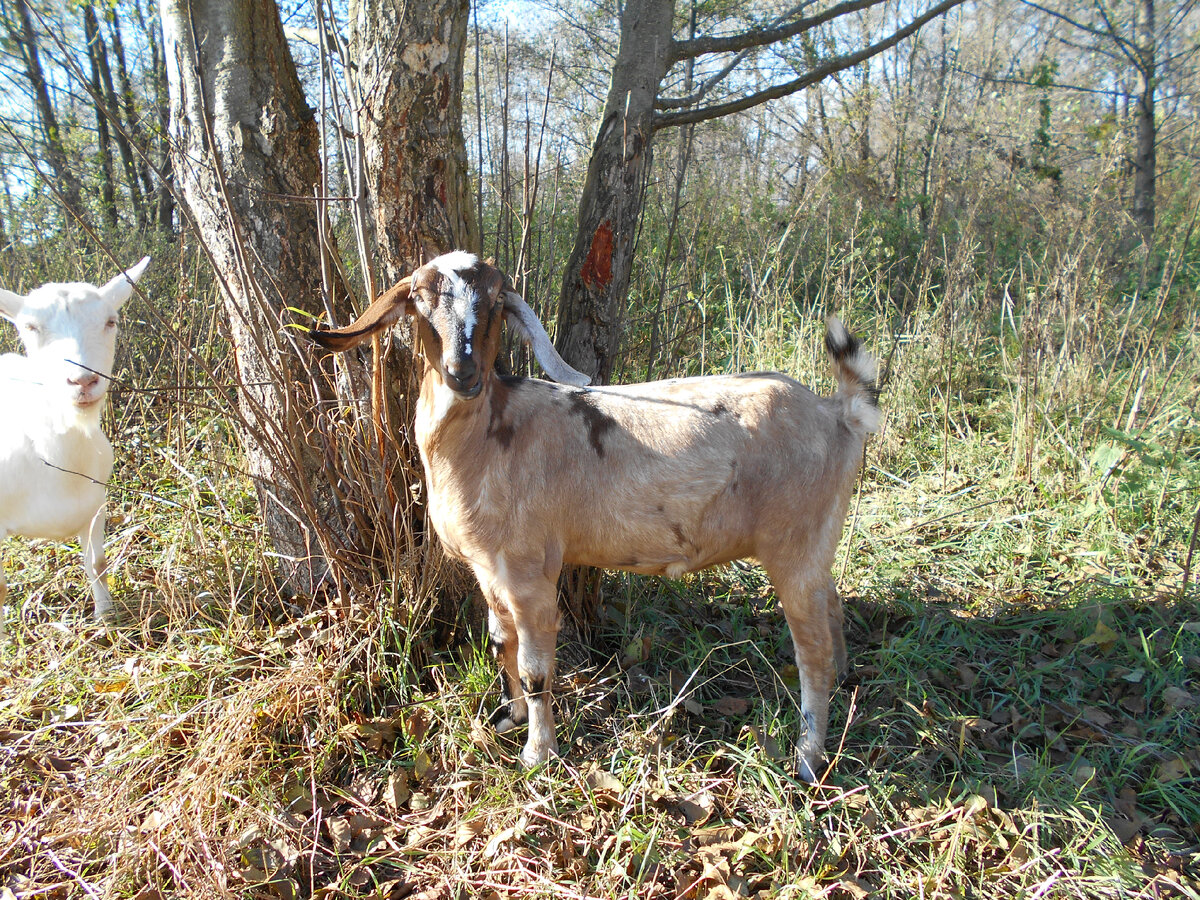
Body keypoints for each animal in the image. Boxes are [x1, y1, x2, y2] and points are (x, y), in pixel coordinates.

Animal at [0, 256, 148, 628]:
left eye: (111, 321)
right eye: (30, 327)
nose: (82, 380)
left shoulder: (95, 505)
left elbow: (98, 564)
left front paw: (107, 619)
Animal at [309, 252, 878, 782]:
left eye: (494, 304)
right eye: (421, 299)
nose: (462, 372)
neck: (485, 436)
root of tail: (839, 415)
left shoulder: (529, 569)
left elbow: (535, 668)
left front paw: (537, 756)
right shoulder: (487, 567)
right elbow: (499, 642)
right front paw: (508, 718)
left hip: (793, 544)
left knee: (812, 653)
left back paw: (808, 758)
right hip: (817, 542)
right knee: (832, 612)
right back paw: (845, 688)